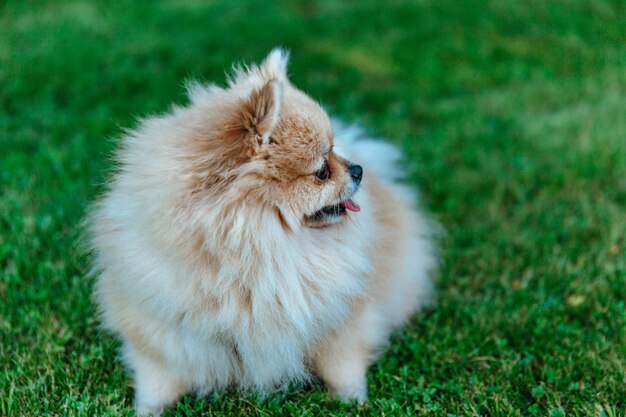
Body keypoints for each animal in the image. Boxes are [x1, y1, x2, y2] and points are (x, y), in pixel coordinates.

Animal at [89, 48, 434, 412]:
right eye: (322, 171)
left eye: (335, 151)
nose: (358, 169)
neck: (253, 259)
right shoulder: (163, 333)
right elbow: (157, 375)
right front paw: (148, 409)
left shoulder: (343, 319)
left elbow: (343, 363)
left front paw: (353, 399)